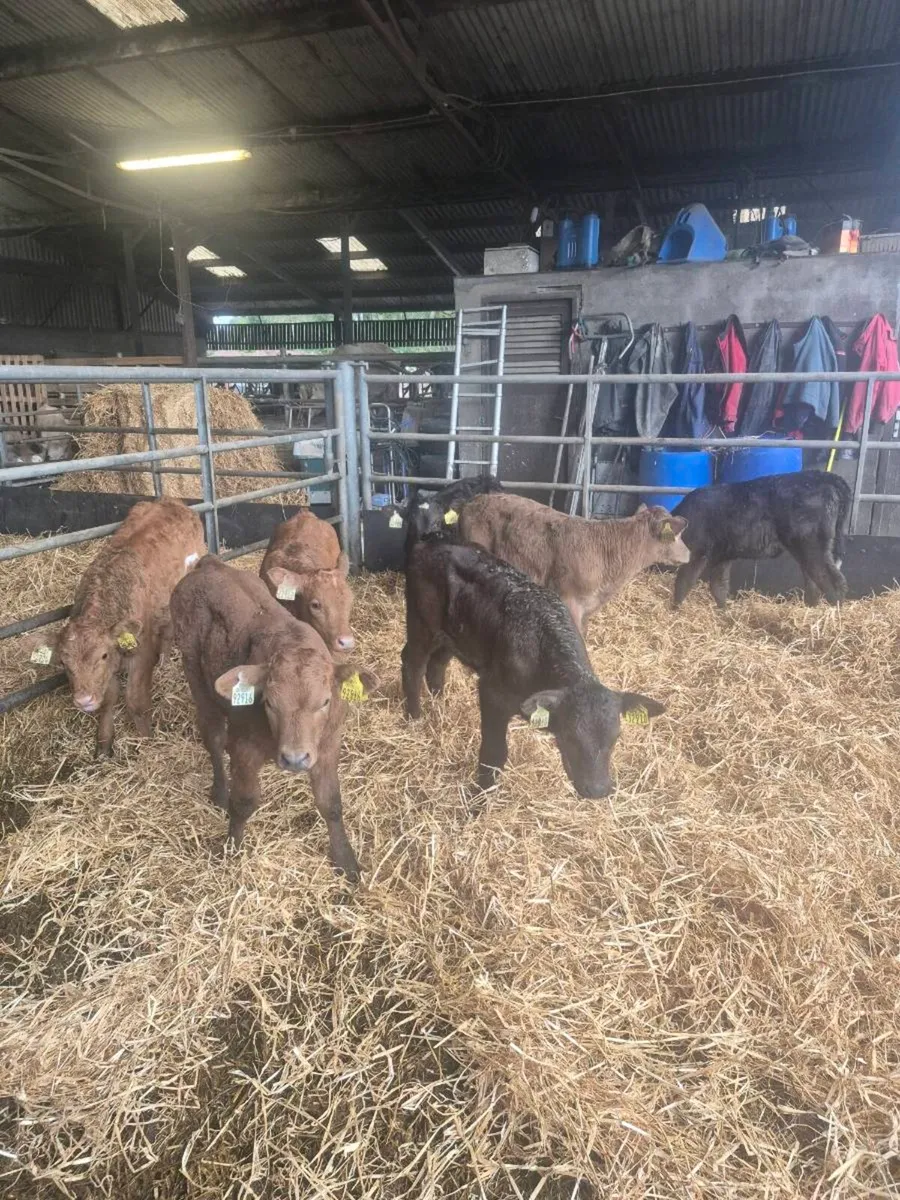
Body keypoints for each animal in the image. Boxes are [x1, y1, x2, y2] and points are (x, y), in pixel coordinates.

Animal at [25, 498, 205, 757]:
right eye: (64, 663)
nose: (84, 700)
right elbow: (109, 698)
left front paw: (147, 740)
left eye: (103, 655)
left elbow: (135, 701)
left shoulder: (141, 653)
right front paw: (104, 746)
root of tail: (172, 501)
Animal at [171, 555, 374, 877]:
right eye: (269, 702)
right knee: (213, 736)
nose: (295, 759)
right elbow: (244, 802)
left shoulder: (328, 745)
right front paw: (231, 848)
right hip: (193, 669)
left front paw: (346, 861)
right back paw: (220, 791)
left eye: (325, 701)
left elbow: (330, 803)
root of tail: (210, 563)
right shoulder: (245, 748)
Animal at [402, 537, 665, 799]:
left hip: (455, 633)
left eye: (615, 737)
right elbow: (494, 755)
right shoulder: (492, 694)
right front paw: (480, 796)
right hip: (421, 624)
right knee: (412, 663)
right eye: (570, 735)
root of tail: (434, 538)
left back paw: (439, 704)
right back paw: (414, 717)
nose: (598, 789)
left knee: (438, 663)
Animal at [671, 469, 851, 608]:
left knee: (833, 583)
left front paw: (675, 610)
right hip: (810, 552)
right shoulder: (722, 558)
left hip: (811, 547)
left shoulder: (696, 551)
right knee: (815, 585)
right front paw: (724, 614)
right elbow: (719, 587)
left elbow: (683, 582)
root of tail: (825, 476)